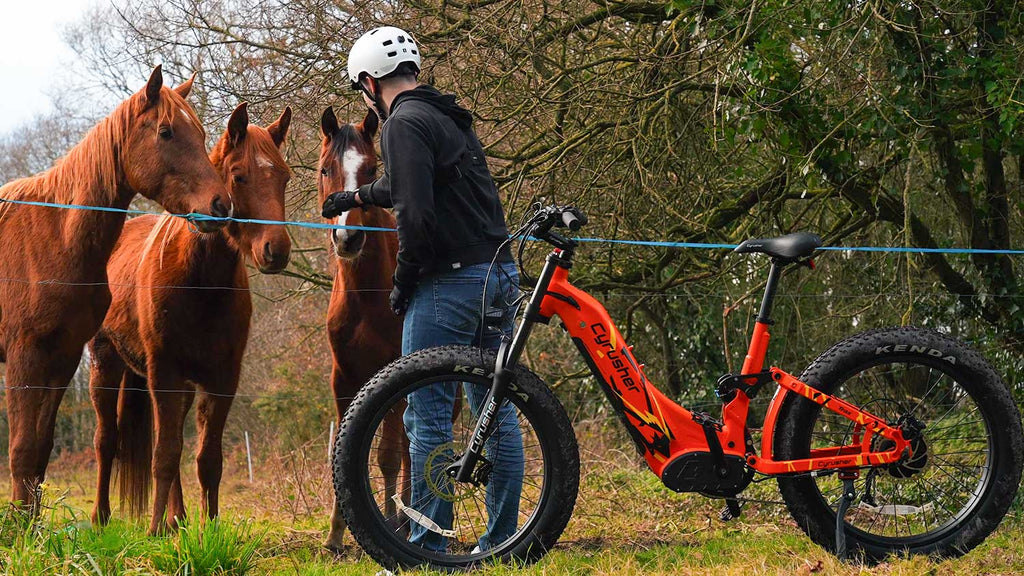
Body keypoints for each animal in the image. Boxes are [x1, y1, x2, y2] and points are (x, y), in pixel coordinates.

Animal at [0, 67, 228, 506]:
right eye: (166, 132)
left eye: (201, 132)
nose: (220, 205)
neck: (54, 238)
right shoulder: (24, 357)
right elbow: (21, 451)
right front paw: (18, 521)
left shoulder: (62, 358)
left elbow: (40, 451)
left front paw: (30, 521)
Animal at [88, 99, 292, 532]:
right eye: (239, 176)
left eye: (283, 177)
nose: (276, 250)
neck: (198, 282)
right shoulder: (164, 374)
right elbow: (164, 456)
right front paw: (152, 532)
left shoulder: (222, 380)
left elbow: (206, 460)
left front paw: (210, 528)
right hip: (105, 363)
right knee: (106, 441)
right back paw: (103, 517)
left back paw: (177, 520)